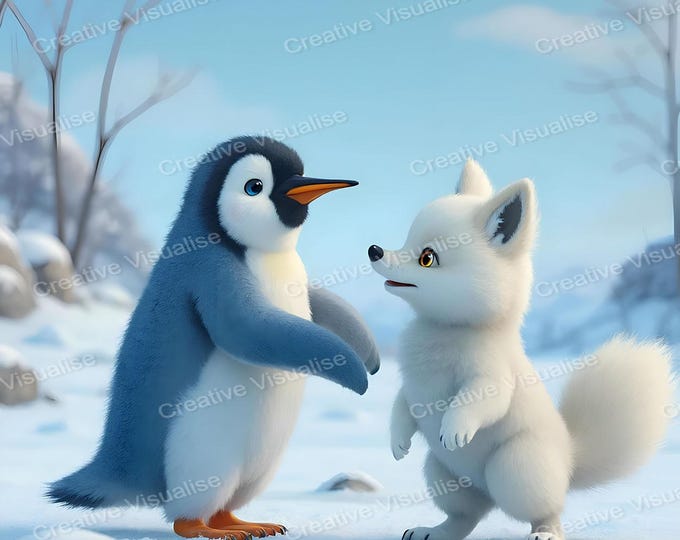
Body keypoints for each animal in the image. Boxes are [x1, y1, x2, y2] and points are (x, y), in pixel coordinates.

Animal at [368, 159, 675, 540]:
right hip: (441, 473)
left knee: (545, 509)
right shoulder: (410, 384)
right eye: (406, 240)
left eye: (427, 257)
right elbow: (401, 407)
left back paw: (545, 531)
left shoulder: (493, 376)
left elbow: (480, 401)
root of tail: (569, 461)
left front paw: (455, 429)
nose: (375, 250)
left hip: (515, 465)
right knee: (465, 517)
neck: (446, 330)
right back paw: (434, 531)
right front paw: (398, 443)